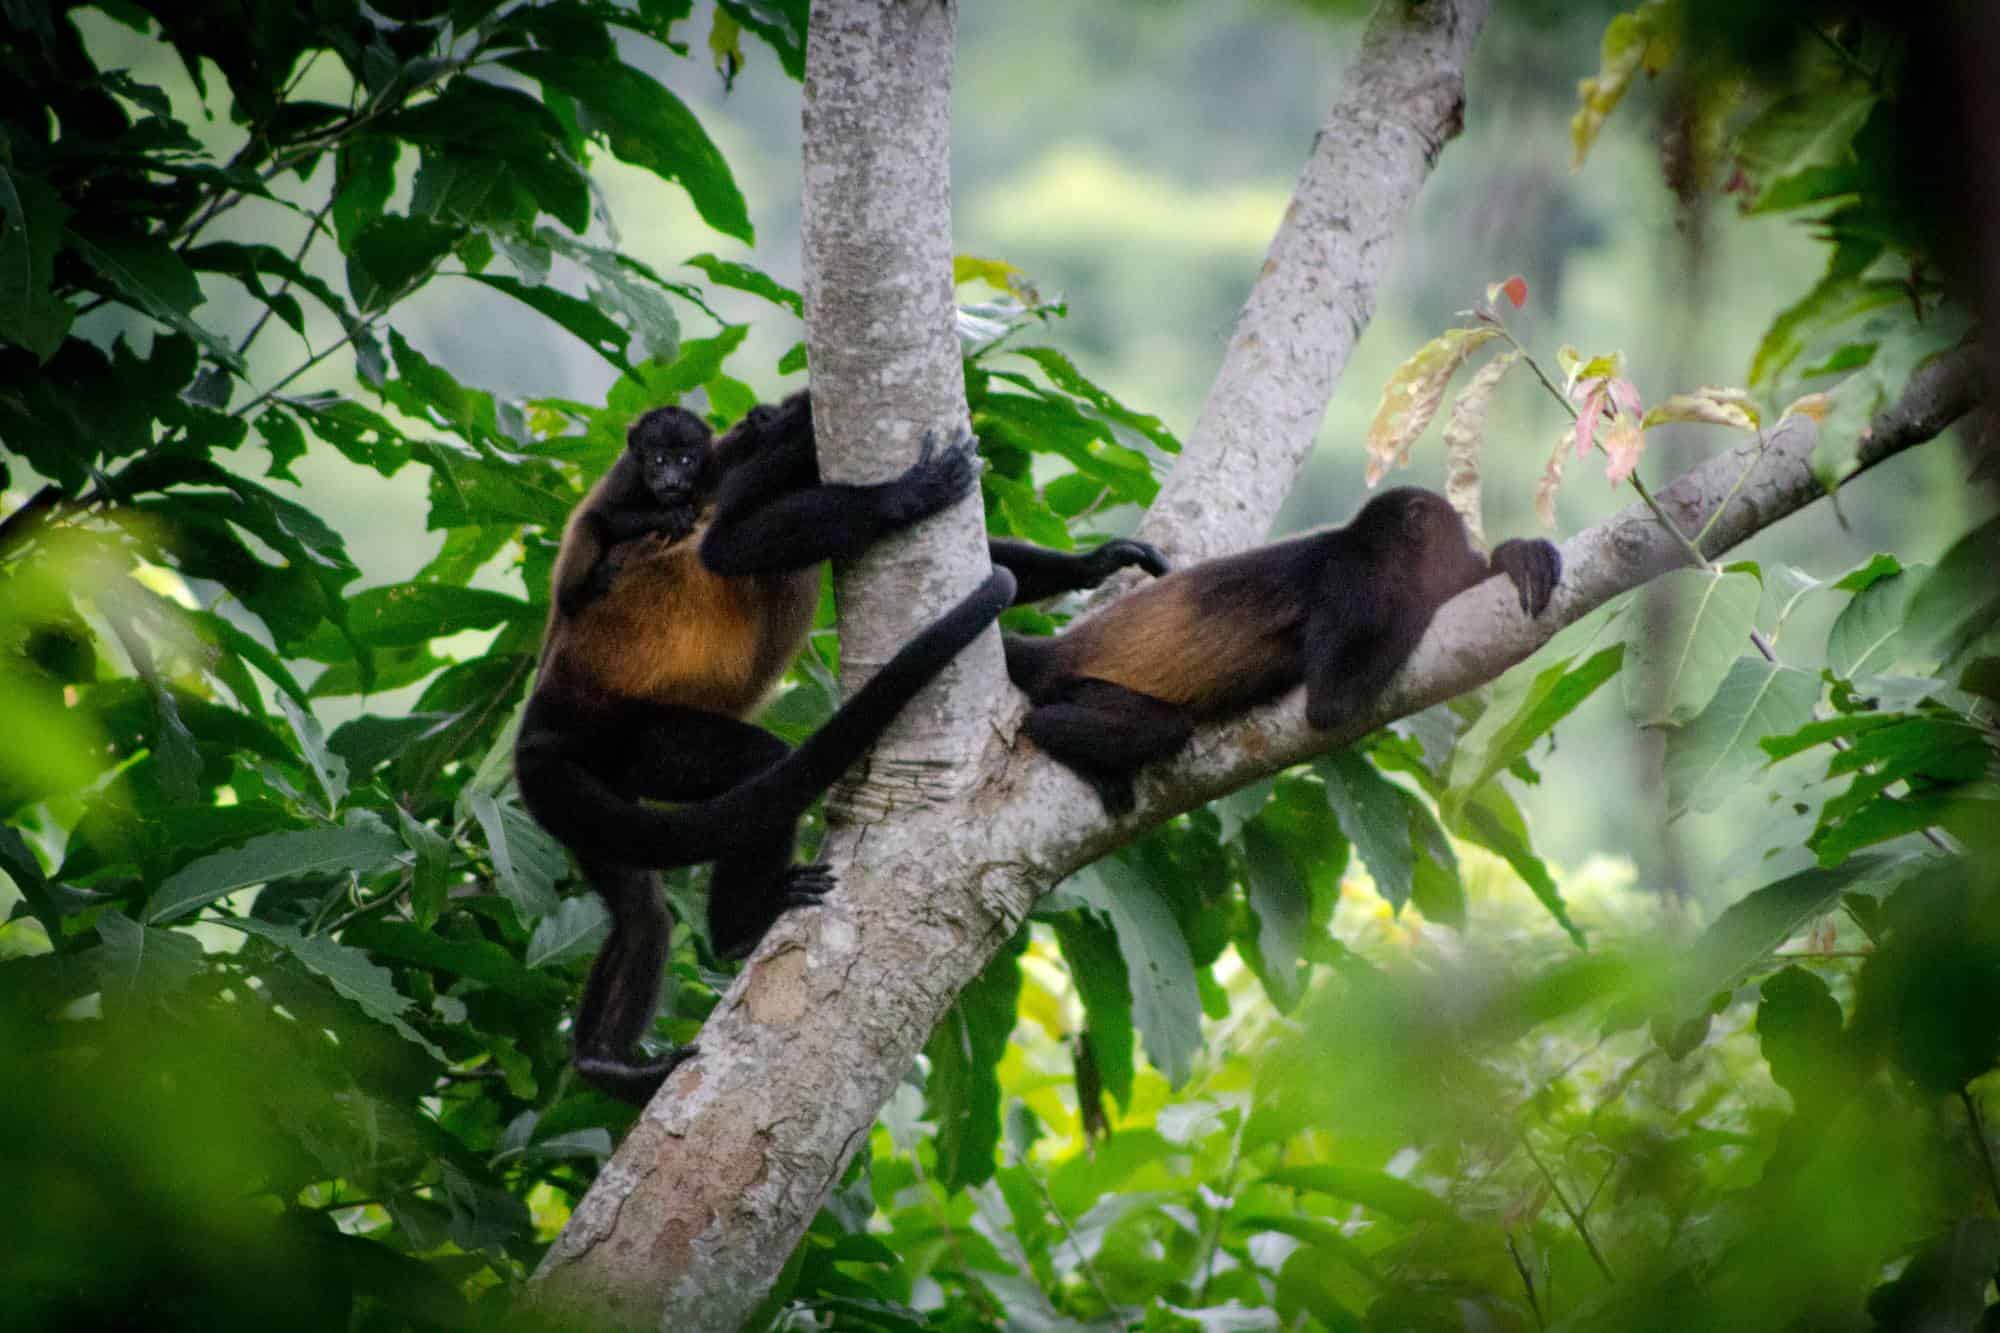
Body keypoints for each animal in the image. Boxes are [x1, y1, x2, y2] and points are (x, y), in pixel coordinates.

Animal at [1000, 487, 1562, 816]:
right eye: (1457, 535)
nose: (1471, 550)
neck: (1375, 552)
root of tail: (1056, 651)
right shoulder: (1352, 584)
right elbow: (1331, 700)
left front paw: (1514, 557)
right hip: (1081, 686)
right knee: (1157, 729)